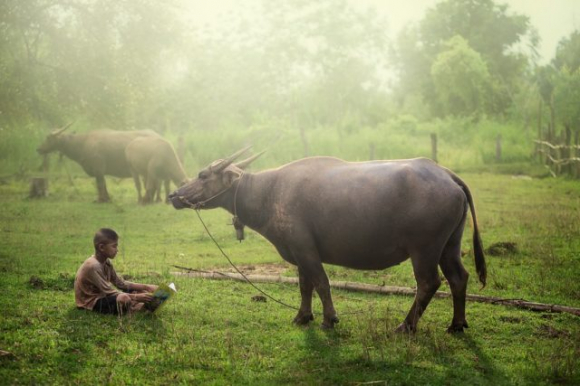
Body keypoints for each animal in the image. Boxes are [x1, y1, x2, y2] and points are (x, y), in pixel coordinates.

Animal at [170, 148, 488, 332]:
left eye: (202, 175)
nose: (174, 195)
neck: (269, 192)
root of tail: (446, 175)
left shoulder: (306, 250)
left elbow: (321, 283)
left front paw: (329, 319)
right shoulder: (298, 253)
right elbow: (304, 285)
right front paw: (302, 317)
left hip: (425, 249)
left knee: (429, 283)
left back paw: (406, 325)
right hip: (449, 245)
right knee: (459, 277)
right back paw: (457, 324)